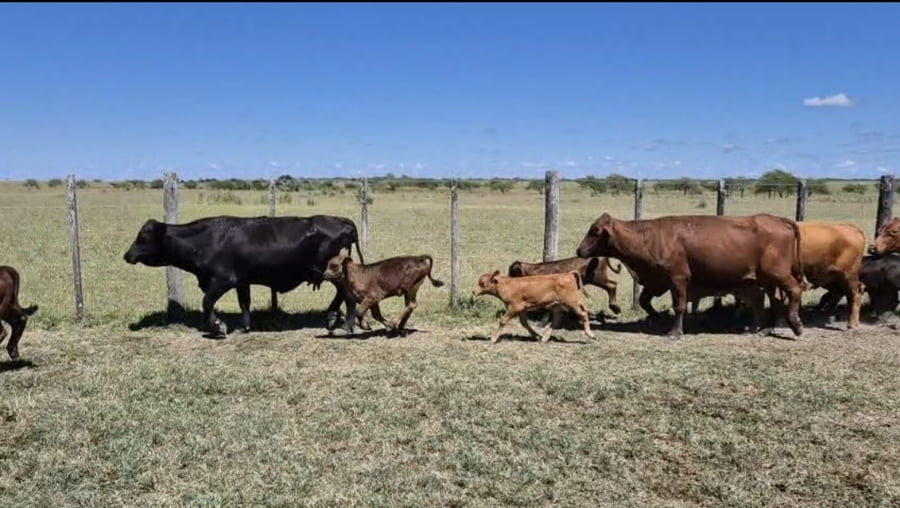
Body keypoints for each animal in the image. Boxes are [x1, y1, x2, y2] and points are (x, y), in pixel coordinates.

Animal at [123, 215, 364, 337]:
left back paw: (342, 323)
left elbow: (207, 302)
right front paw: (243, 326)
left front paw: (218, 325)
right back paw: (334, 316)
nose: (127, 255)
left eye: (143, 236)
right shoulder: (242, 280)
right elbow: (244, 303)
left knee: (347, 295)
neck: (205, 240)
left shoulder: (223, 280)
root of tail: (343, 221)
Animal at [576, 213, 805, 338]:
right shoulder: (656, 281)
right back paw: (765, 327)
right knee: (771, 300)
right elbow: (644, 301)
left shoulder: (677, 279)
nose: (579, 250)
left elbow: (679, 306)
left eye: (595, 231)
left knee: (793, 290)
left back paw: (795, 324)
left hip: (777, 273)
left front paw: (675, 332)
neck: (648, 237)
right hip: (765, 280)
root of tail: (777, 220)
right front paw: (656, 317)